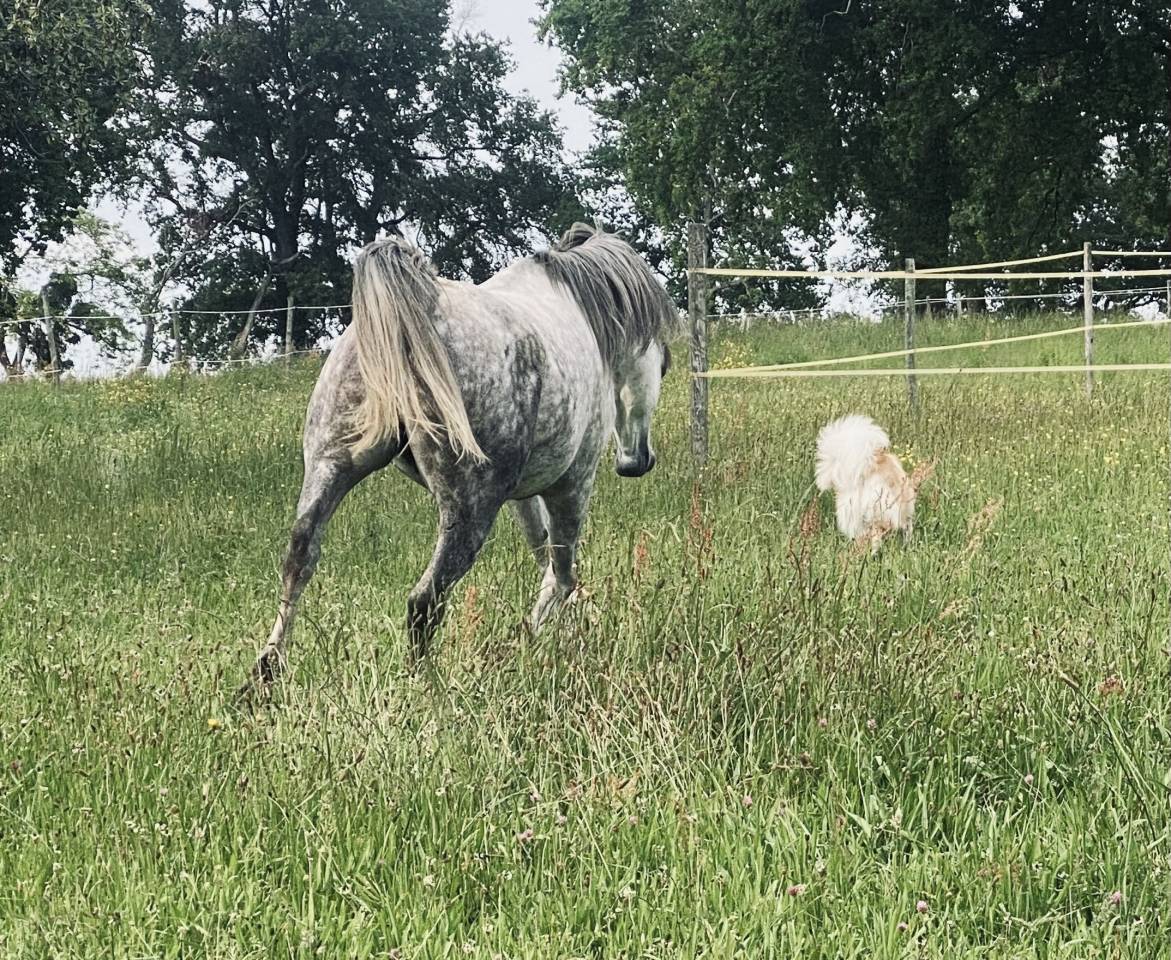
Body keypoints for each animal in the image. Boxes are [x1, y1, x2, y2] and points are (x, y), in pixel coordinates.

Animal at [240, 223, 680, 694]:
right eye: (663, 363)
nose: (637, 461)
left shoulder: (524, 495)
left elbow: (544, 554)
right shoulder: (571, 486)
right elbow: (561, 573)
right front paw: (539, 640)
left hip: (329, 470)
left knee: (299, 559)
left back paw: (265, 672)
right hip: (469, 510)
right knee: (424, 598)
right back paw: (423, 686)